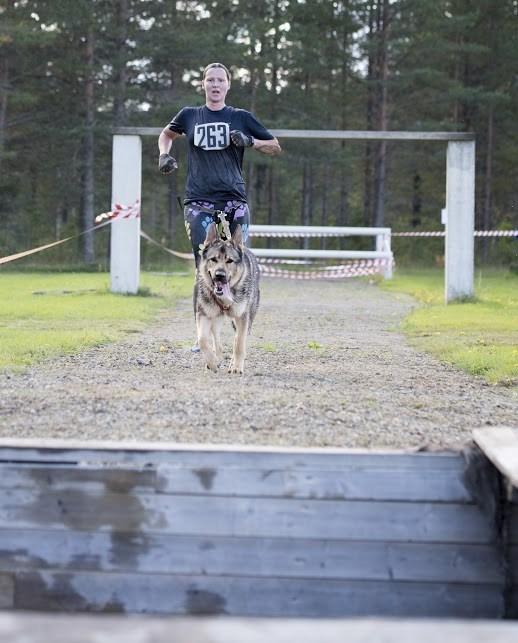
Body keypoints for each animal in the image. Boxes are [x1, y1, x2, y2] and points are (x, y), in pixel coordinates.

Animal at [195, 223, 260, 374]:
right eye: (213, 259)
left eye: (229, 261)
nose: (219, 275)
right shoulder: (204, 314)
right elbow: (202, 340)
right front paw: (212, 363)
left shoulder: (242, 317)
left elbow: (239, 344)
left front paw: (236, 367)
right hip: (216, 319)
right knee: (216, 338)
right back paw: (217, 358)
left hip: (245, 319)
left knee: (237, 339)